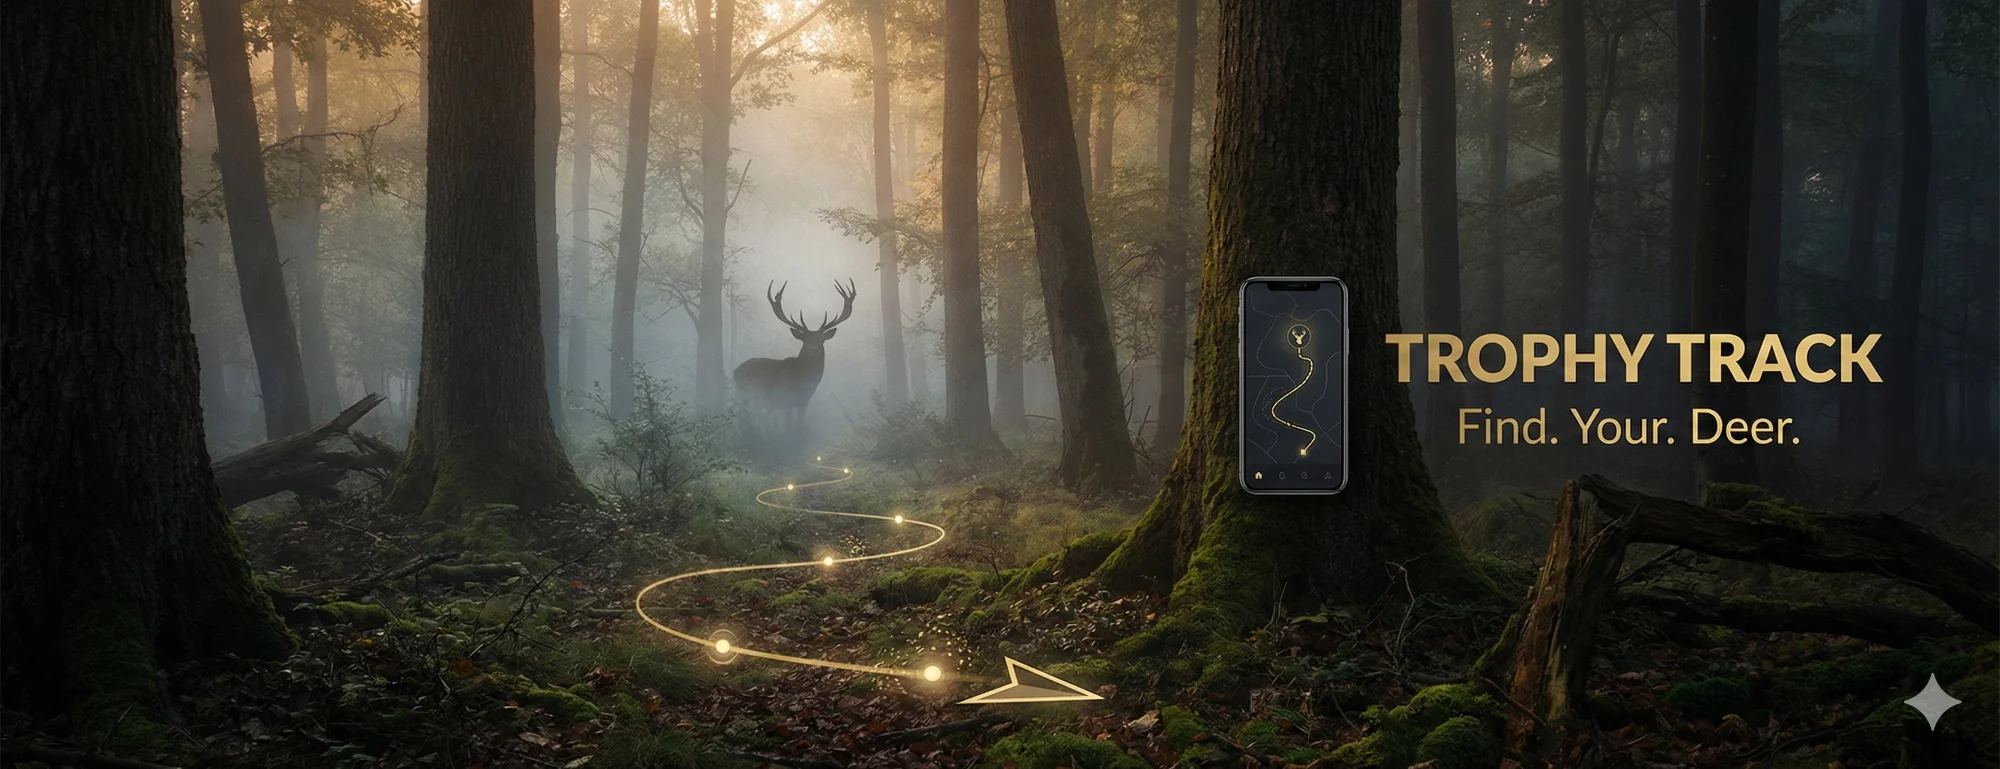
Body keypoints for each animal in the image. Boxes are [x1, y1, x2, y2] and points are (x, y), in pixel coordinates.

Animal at [732, 279, 858, 433]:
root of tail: (734, 372)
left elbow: (799, 424)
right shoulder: (785, 399)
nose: (814, 350)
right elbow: (789, 425)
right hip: (750, 393)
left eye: (821, 340)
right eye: (806, 340)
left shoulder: (804, 402)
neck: (802, 379)